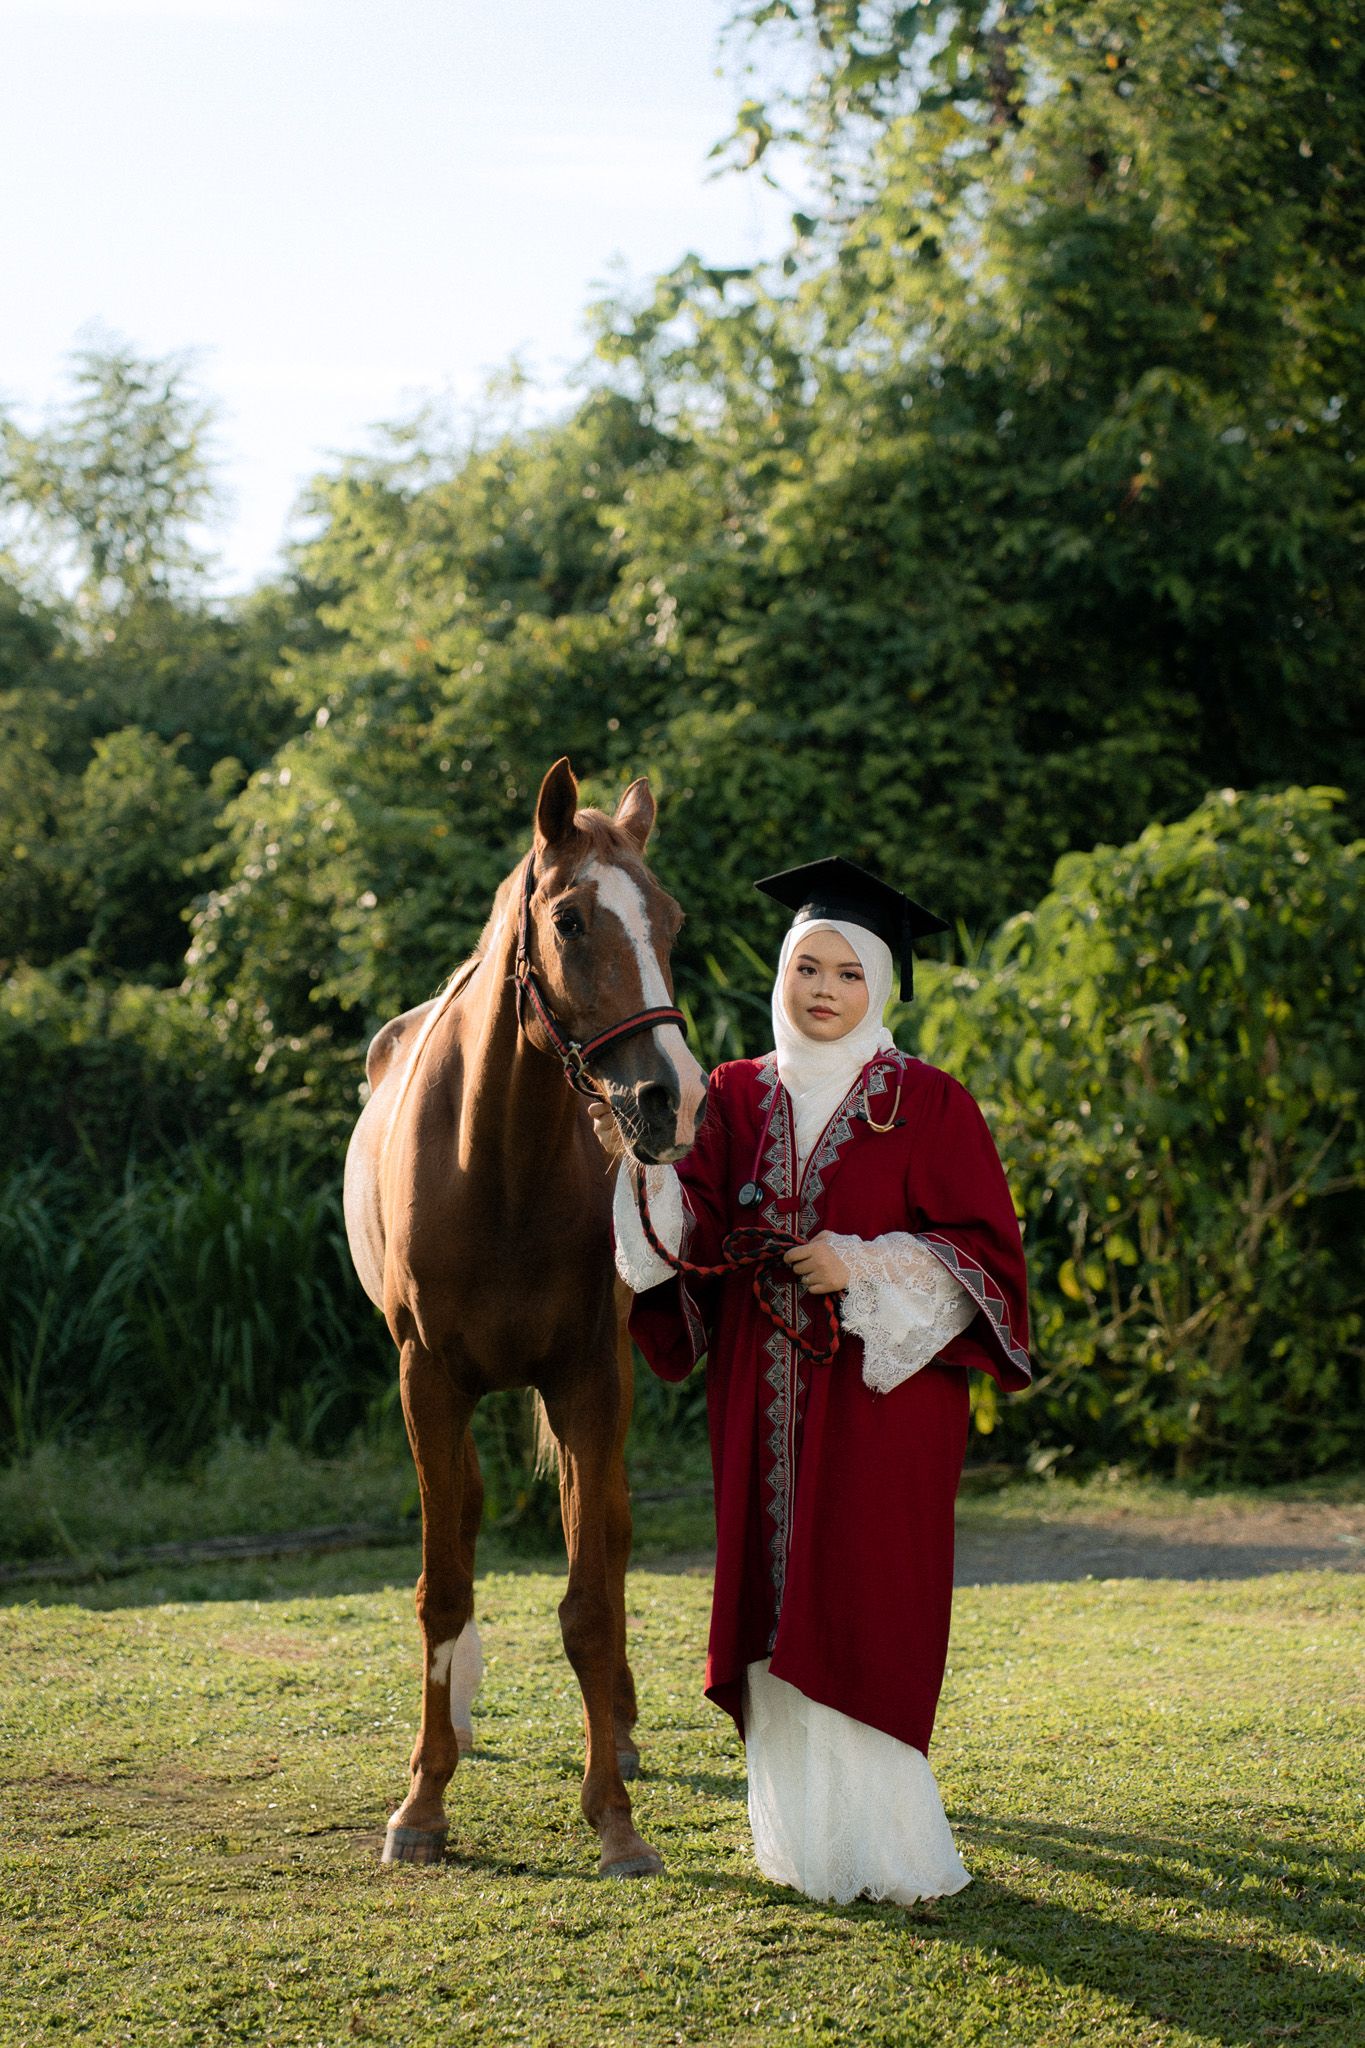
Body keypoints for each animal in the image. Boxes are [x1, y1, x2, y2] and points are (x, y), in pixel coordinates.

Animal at [343, 758, 707, 1876]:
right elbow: (443, 1586)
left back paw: (618, 1733)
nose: (670, 1097)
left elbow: (589, 1595)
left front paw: (614, 1818)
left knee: (610, 1535)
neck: (492, 1164)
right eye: (572, 919)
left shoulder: (588, 1377)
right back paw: (453, 1727)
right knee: (461, 1520)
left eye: (670, 921)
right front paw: (421, 1803)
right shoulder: (426, 1381)